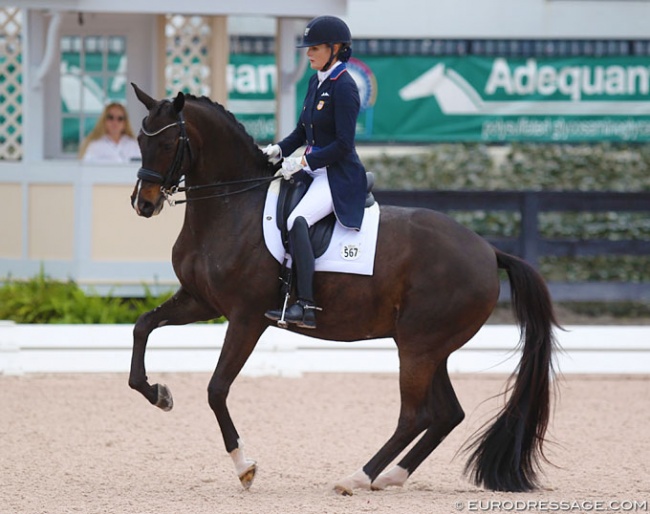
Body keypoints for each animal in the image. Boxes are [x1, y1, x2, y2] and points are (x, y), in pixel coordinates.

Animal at [130, 83, 556, 492]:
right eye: (140, 140)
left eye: (167, 144)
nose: (142, 204)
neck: (233, 206)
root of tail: (488, 250)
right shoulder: (201, 302)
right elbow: (142, 327)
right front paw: (158, 394)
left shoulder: (246, 317)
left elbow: (216, 389)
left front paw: (244, 467)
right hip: (432, 348)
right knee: (447, 413)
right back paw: (391, 477)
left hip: (419, 346)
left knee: (415, 414)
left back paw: (358, 477)